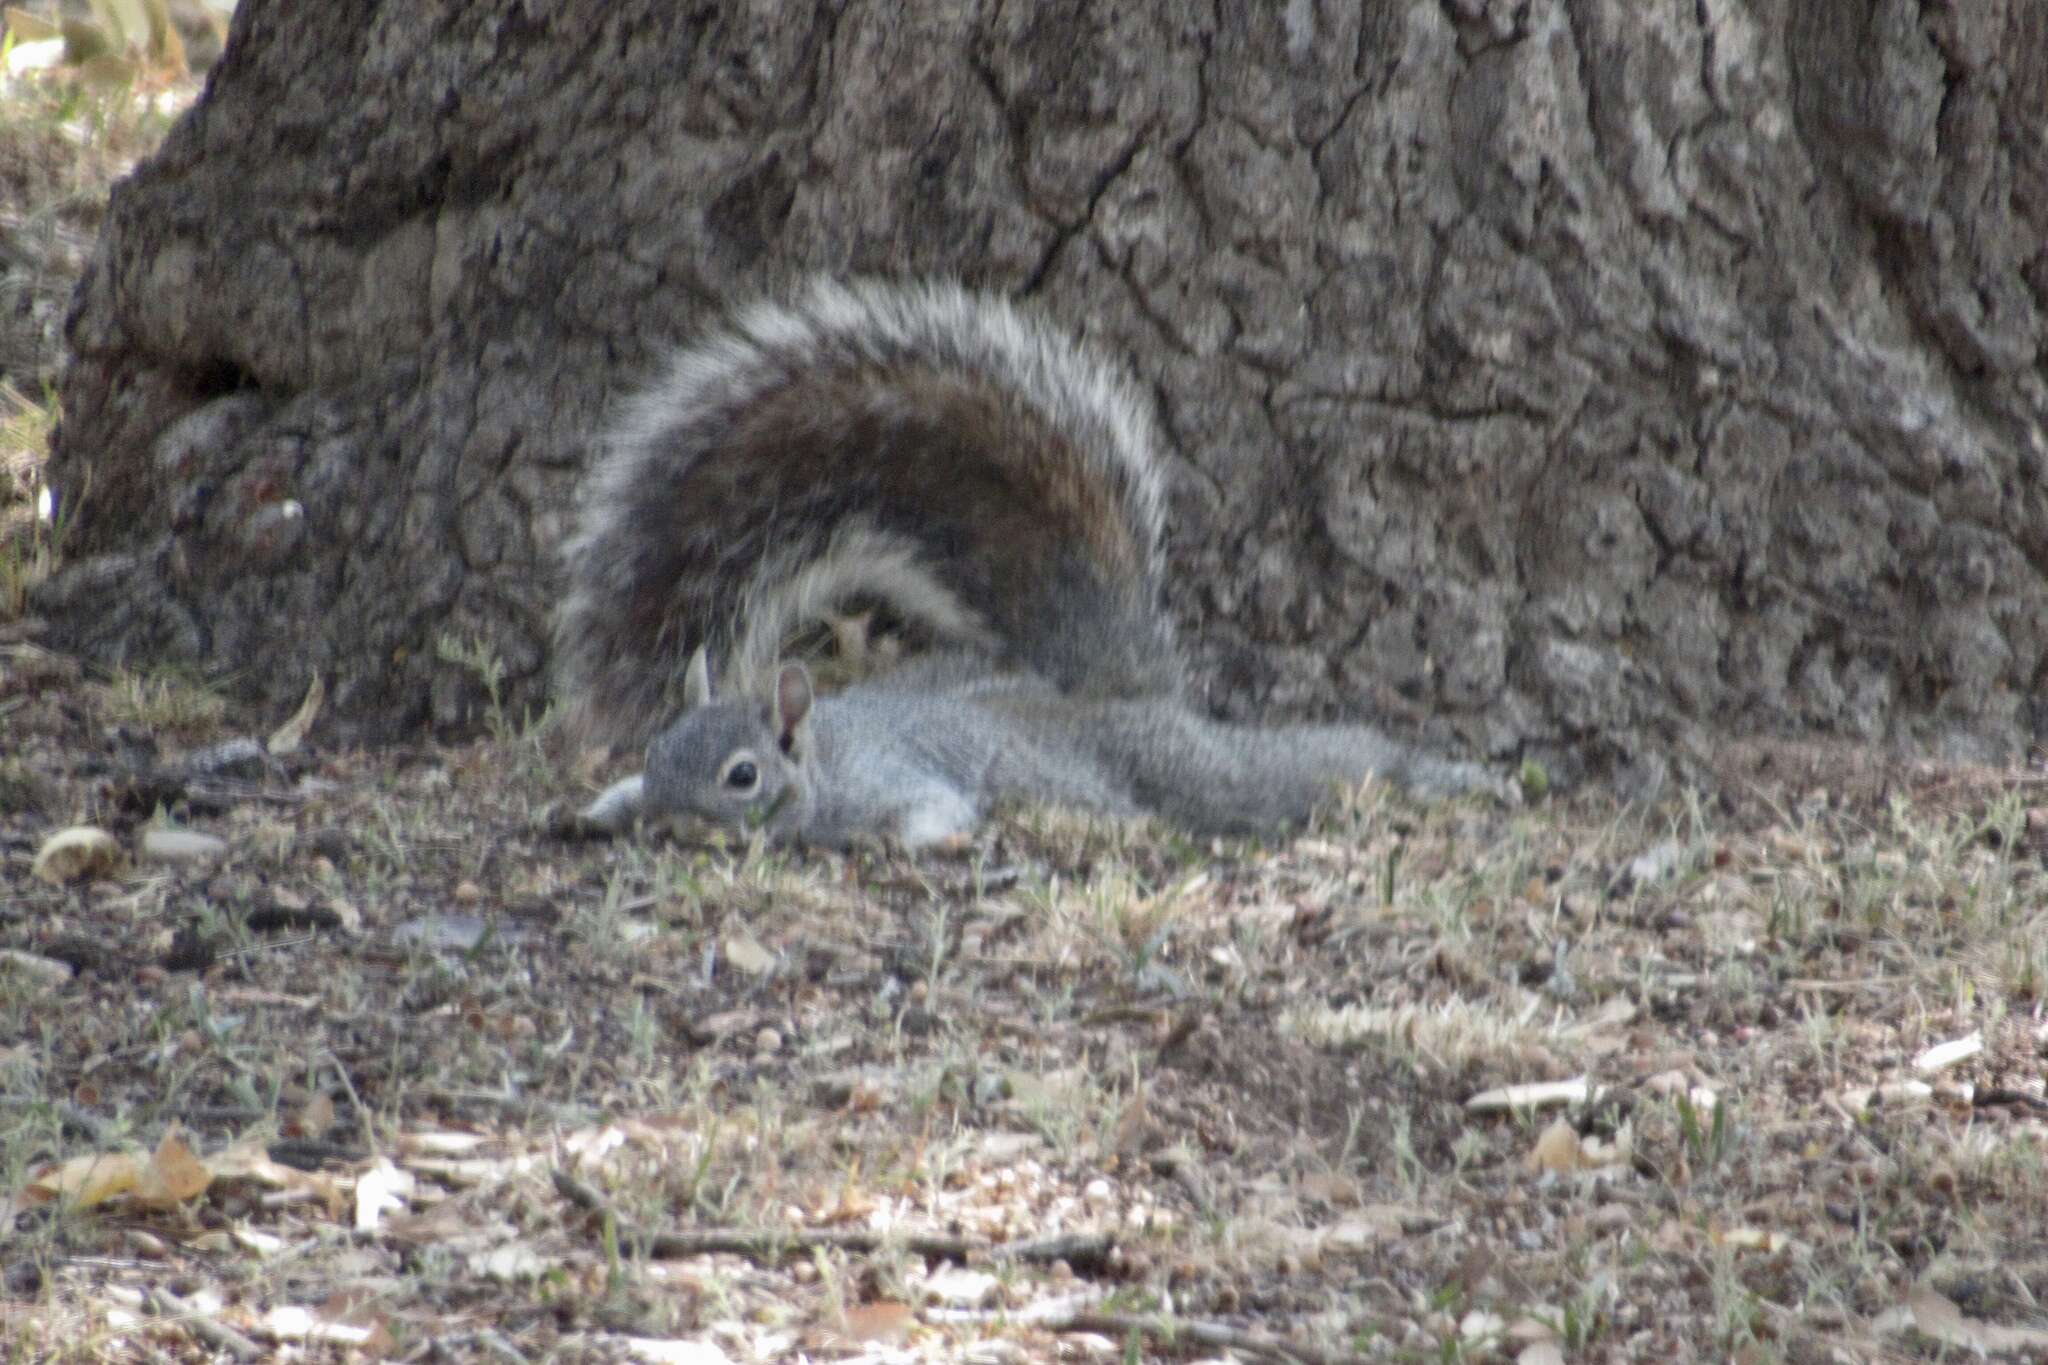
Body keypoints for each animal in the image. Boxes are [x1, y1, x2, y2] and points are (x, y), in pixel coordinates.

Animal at [557, 278, 1507, 847]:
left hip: (1193, 767)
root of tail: (1099, 693)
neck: (820, 761)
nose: (672, 822)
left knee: (1311, 762)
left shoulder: (889, 779)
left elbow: (931, 810)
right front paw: (603, 806)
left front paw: (917, 839)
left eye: (741, 776)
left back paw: (1439, 772)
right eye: (660, 751)